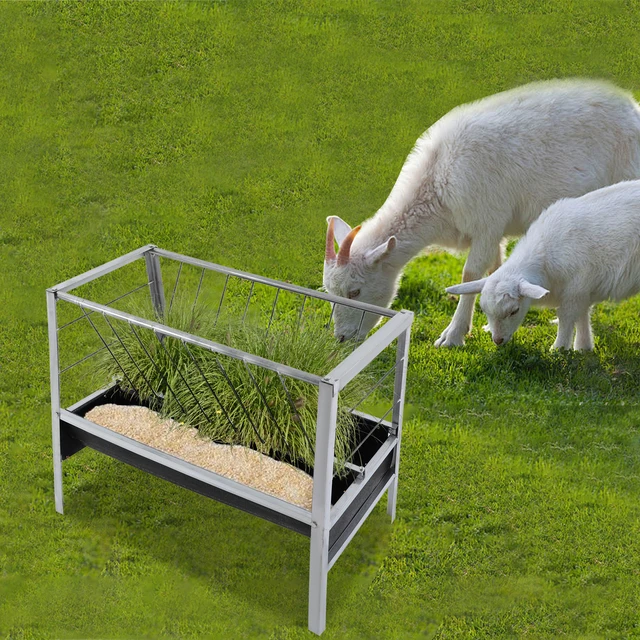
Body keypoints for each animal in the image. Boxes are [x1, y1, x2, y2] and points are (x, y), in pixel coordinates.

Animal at [446, 180, 640, 350]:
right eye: (485, 311)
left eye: (514, 311)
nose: (498, 340)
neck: (544, 257)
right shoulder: (582, 291)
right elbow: (582, 316)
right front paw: (583, 348)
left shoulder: (577, 286)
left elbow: (567, 316)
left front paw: (559, 348)